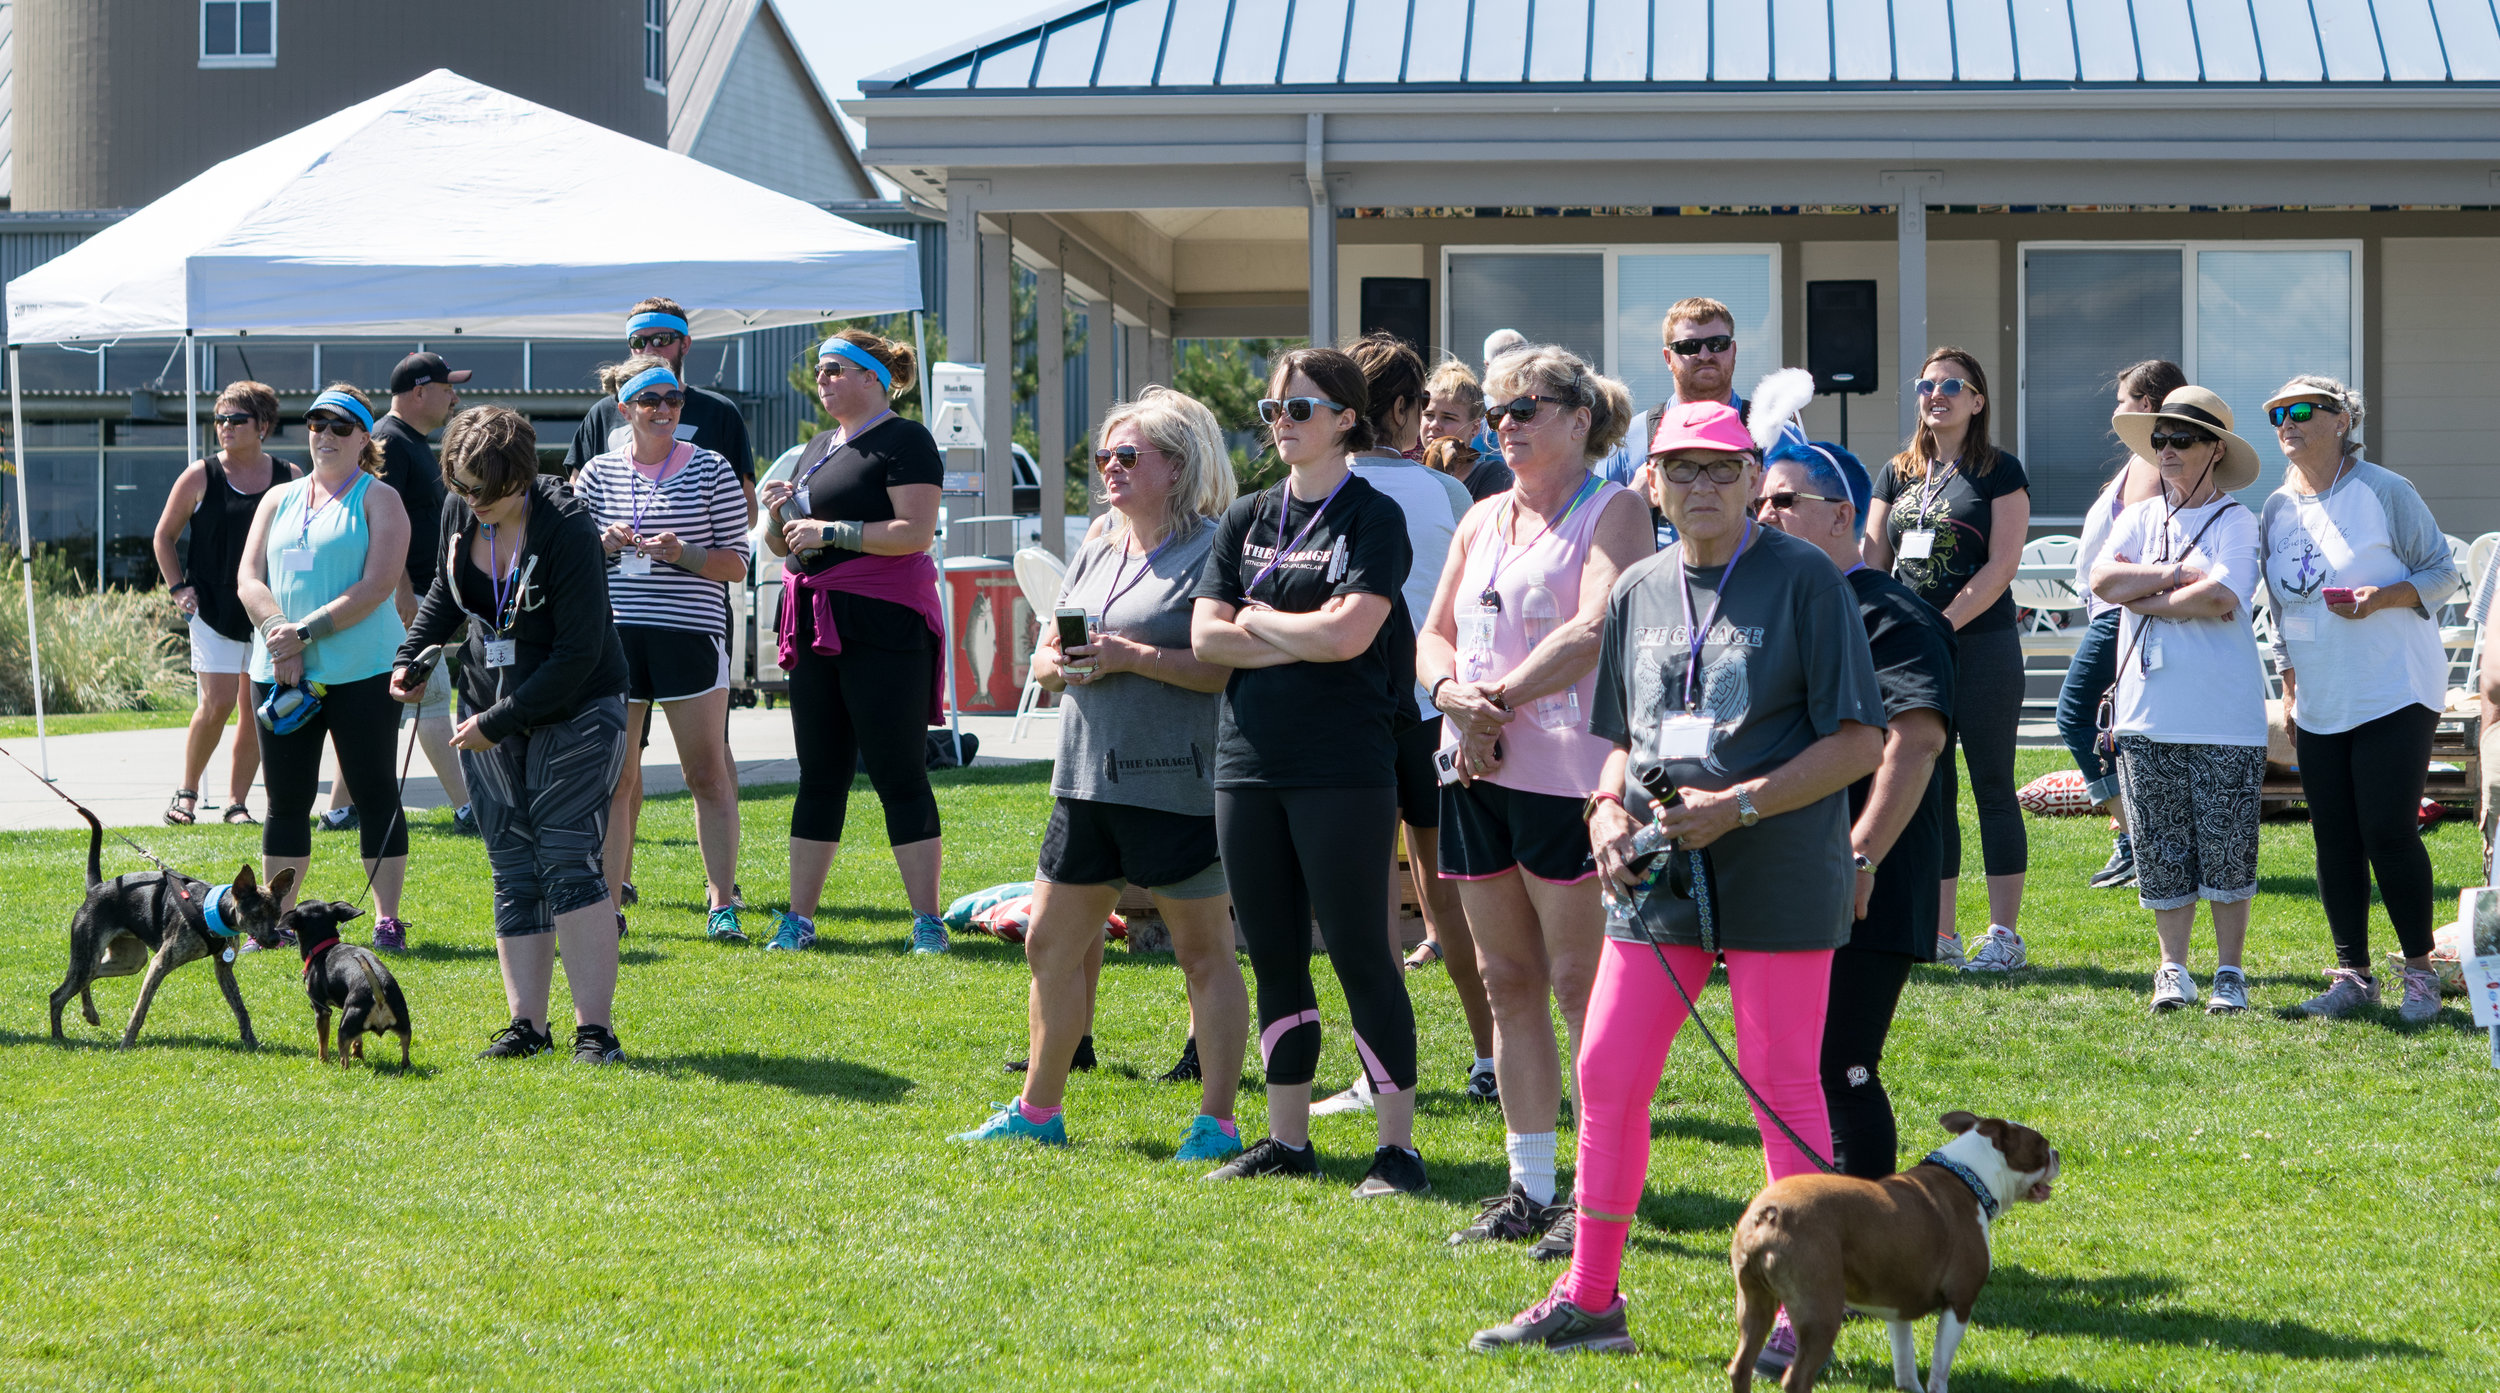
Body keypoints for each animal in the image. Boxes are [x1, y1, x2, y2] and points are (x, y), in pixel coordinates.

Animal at [50, 805, 291, 1040]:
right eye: (256, 914)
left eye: (277, 914)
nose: (274, 938)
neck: (213, 910)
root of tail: (96, 888)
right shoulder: (159, 964)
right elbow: (139, 1011)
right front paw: (126, 1043)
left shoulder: (224, 969)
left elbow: (240, 1008)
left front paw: (251, 1041)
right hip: (89, 958)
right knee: (57, 996)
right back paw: (59, 1038)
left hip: (129, 961)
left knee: (92, 976)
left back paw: (89, 1013)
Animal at [286, 895, 412, 1070]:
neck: (324, 947)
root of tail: (379, 995)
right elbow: (358, 1041)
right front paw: (358, 1056)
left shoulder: (321, 1010)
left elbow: (322, 1041)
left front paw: (322, 1060)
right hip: (403, 1026)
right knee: (405, 1055)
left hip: (343, 1029)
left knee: (343, 1058)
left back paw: (341, 1069)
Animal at [1730, 1110, 2060, 1390]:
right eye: (2042, 1146)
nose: (2057, 1154)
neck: (1967, 1176)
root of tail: (1770, 1213)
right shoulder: (1959, 1303)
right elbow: (1940, 1369)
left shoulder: (1897, 1308)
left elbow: (1905, 1365)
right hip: (1820, 1311)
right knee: (1796, 1379)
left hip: (1753, 1301)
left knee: (1740, 1366)